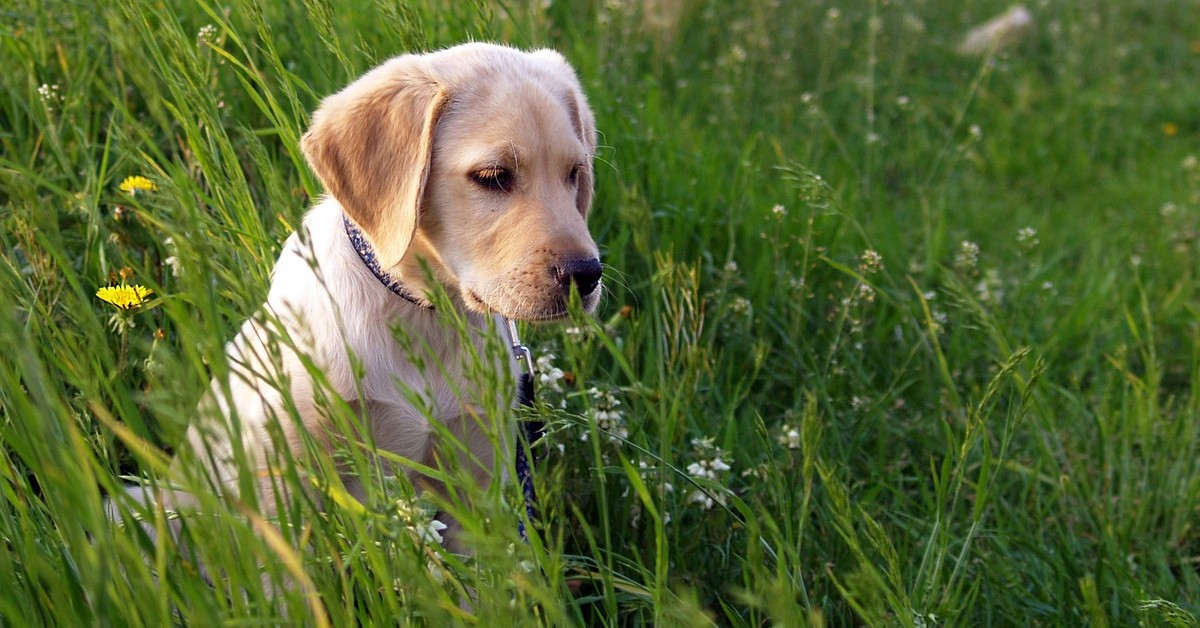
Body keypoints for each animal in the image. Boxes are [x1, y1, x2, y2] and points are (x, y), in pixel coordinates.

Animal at [121, 42, 600, 549]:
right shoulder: (285, 474)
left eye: (574, 174)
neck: (422, 314)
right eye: (493, 176)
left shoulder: (479, 479)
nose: (586, 275)